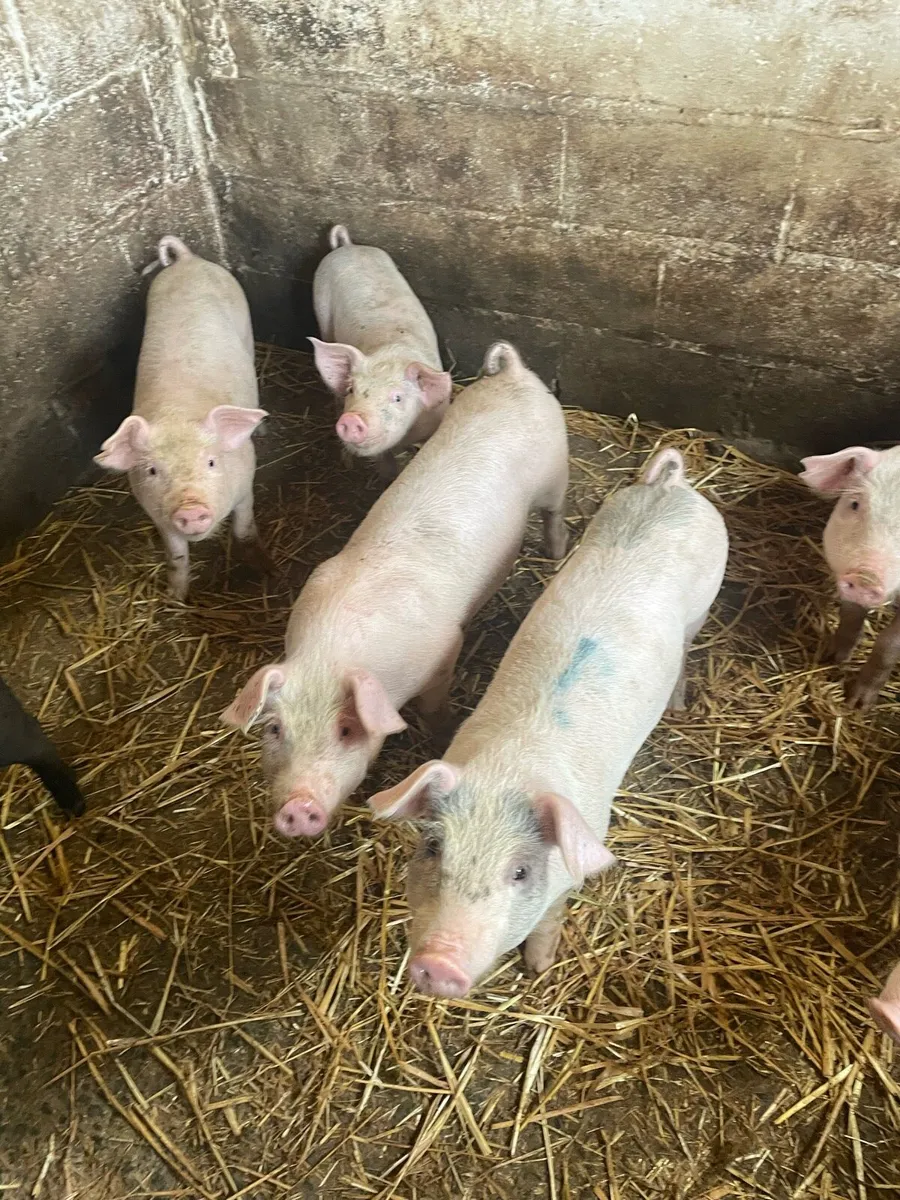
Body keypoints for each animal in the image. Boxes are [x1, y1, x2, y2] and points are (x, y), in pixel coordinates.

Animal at [94, 236, 269, 602]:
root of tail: (188, 260)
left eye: (212, 462)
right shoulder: (157, 515)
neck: (177, 414)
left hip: (245, 323)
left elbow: (244, 527)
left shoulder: (245, 482)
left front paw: (264, 568)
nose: (190, 507)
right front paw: (174, 599)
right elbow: (176, 557)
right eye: (152, 470)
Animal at [221, 341, 569, 839]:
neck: (332, 652)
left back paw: (556, 552)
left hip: (556, 473)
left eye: (347, 729)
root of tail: (513, 374)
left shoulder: (445, 648)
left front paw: (443, 730)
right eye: (274, 730)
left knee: (555, 514)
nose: (297, 808)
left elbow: (434, 705)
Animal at [310, 224, 452, 480]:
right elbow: (386, 467)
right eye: (352, 389)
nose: (352, 419)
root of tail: (348, 247)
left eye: (397, 397)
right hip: (321, 309)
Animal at [368, 448, 728, 999]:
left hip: (705, 599)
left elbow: (548, 920)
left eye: (520, 871)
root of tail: (670, 486)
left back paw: (678, 707)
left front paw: (539, 968)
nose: (438, 963)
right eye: (433, 847)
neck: (506, 771)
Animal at [799, 445, 900, 709]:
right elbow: (850, 617)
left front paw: (859, 706)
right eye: (855, 504)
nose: (866, 576)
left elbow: (888, 643)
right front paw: (833, 660)